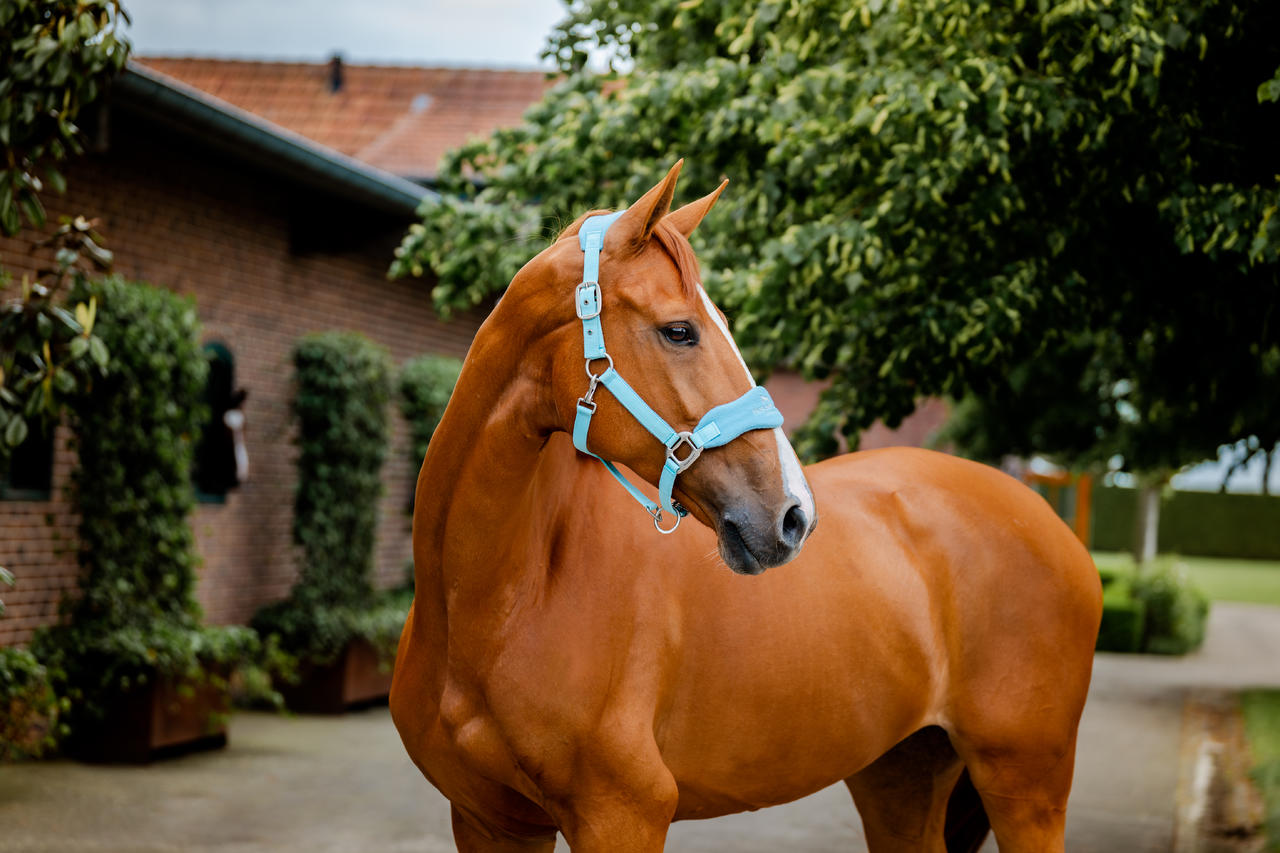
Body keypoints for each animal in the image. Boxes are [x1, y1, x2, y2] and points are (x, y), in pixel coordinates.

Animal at [389, 161, 1100, 850]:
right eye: (680, 330)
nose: (795, 515)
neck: (507, 599)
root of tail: (1050, 521)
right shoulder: (491, 822)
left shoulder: (623, 815)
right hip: (901, 777)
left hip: (1026, 785)